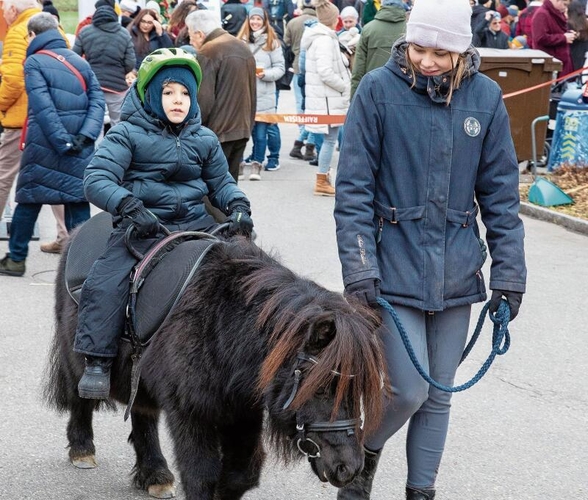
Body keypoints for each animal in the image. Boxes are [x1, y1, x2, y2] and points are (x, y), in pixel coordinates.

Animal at [46, 236, 386, 498]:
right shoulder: (190, 412)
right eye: (323, 387)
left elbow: (242, 475)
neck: (222, 325)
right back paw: (82, 449)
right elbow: (201, 475)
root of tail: (75, 235)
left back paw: (155, 475)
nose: (348, 467)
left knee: (143, 417)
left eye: (358, 388)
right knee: (81, 397)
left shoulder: (242, 412)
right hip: (79, 360)